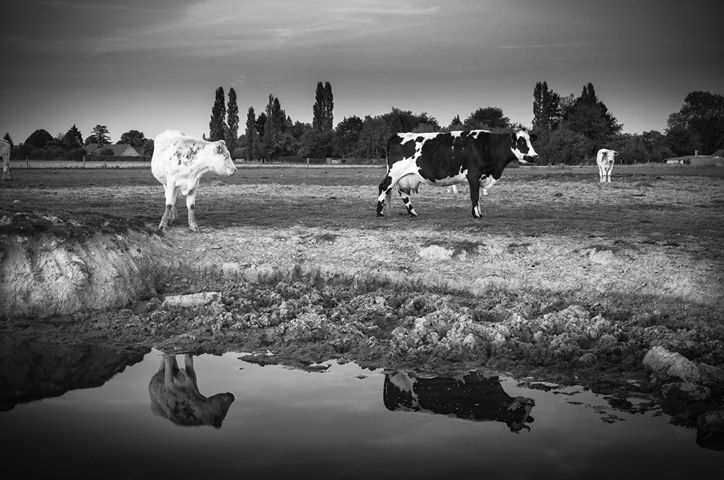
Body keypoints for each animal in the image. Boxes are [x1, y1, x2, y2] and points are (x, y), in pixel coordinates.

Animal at [378, 127, 536, 218]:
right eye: (522, 142)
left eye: (530, 141)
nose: (535, 156)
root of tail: (397, 135)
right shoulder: (473, 175)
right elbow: (474, 196)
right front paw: (476, 215)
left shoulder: (480, 178)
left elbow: (479, 197)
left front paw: (480, 213)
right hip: (394, 173)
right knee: (383, 187)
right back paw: (379, 213)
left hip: (406, 177)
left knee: (403, 193)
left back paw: (413, 213)